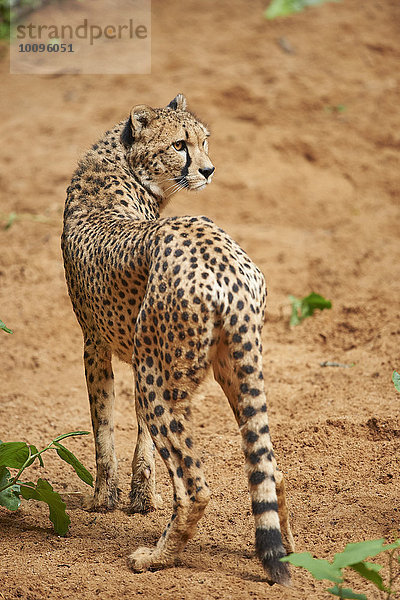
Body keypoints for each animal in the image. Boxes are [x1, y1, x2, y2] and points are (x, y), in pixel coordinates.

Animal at [61, 94, 294, 584]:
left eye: (203, 141)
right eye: (180, 144)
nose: (208, 169)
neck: (122, 166)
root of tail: (223, 256)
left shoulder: (96, 345)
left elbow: (102, 426)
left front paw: (103, 498)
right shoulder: (136, 351)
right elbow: (137, 434)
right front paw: (138, 495)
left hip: (161, 379)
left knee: (195, 487)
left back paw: (156, 557)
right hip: (231, 364)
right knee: (271, 468)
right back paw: (284, 553)